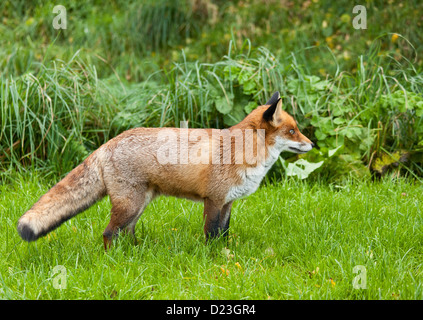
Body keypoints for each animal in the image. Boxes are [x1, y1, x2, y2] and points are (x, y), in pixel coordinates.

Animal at [17, 91, 314, 249]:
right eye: (292, 131)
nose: (312, 144)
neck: (240, 151)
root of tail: (108, 143)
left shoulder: (228, 202)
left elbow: (224, 233)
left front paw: (226, 255)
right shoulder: (213, 200)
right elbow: (210, 234)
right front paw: (213, 259)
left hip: (138, 204)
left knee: (127, 232)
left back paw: (136, 253)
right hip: (129, 205)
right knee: (109, 233)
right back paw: (113, 260)